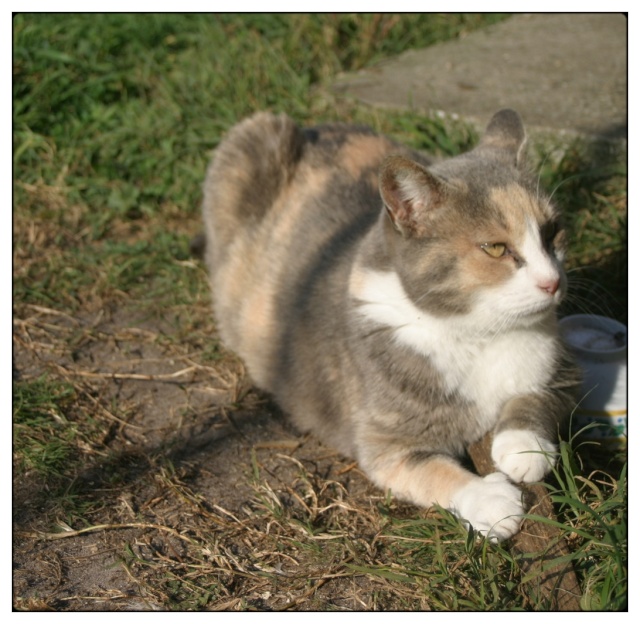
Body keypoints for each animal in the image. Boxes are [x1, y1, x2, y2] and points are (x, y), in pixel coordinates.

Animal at [202, 109, 584, 540]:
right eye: (496, 248)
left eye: (552, 231)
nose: (552, 281)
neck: (478, 333)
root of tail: (313, 126)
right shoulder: (385, 444)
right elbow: (431, 470)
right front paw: (490, 501)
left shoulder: (565, 371)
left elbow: (537, 396)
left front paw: (522, 447)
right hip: (252, 139)